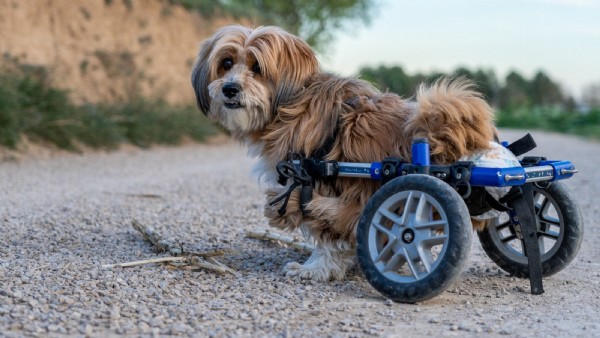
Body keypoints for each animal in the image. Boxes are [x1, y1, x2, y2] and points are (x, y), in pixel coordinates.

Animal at [193, 25, 496, 282]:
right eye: (226, 63)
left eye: (257, 67)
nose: (230, 88)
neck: (293, 103)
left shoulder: (318, 179)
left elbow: (328, 233)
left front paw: (315, 268)